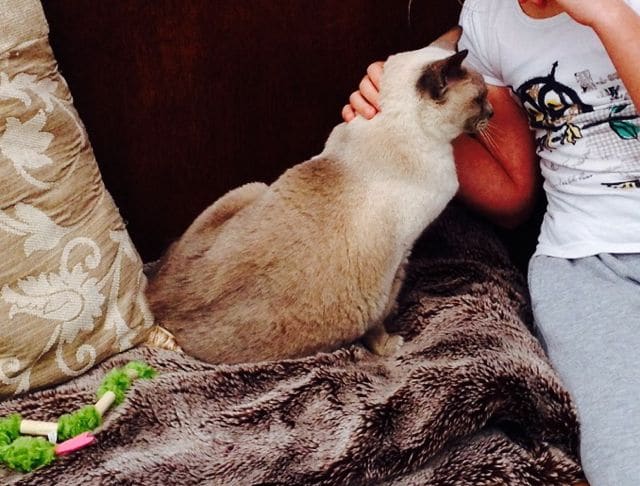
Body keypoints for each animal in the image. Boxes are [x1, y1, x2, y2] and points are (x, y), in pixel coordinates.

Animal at [145, 27, 492, 364]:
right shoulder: (396, 264)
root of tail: (153, 302)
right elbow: (379, 321)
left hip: (252, 188)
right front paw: (390, 345)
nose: (491, 112)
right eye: (480, 99)